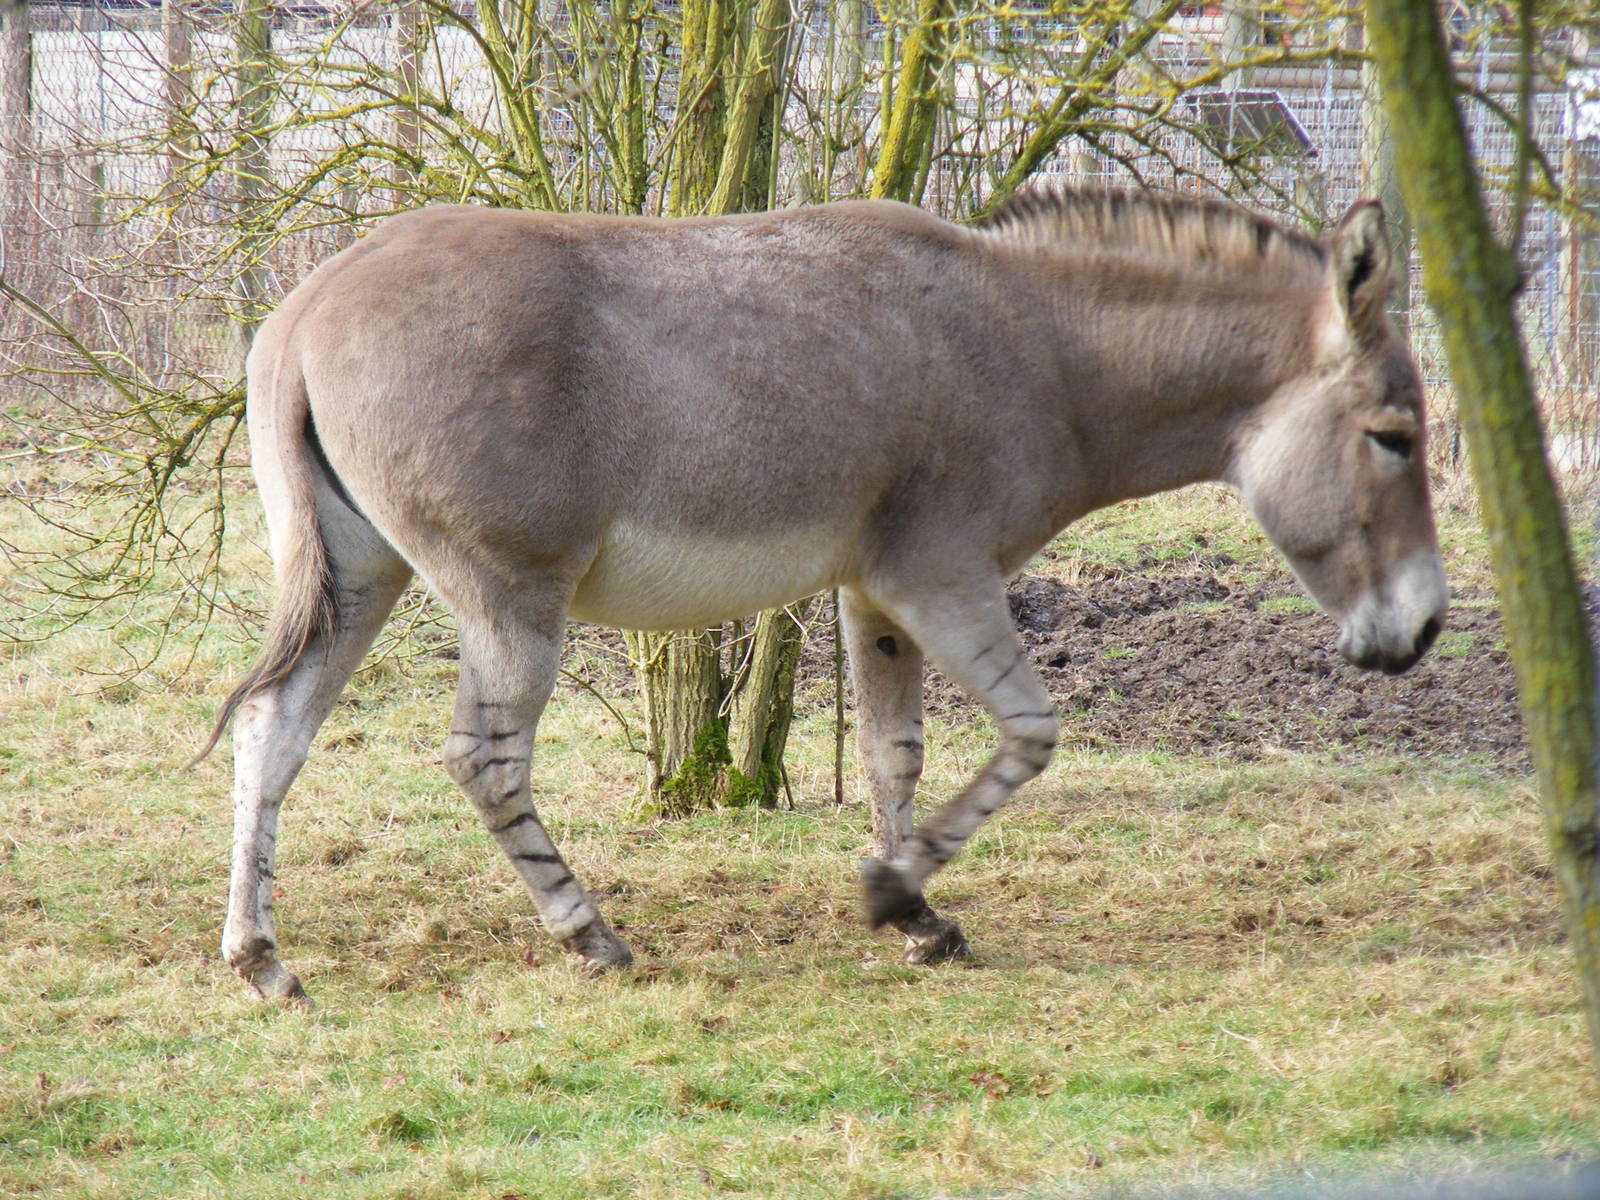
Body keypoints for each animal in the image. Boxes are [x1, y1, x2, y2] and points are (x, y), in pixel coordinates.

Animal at [196, 187, 1448, 1000]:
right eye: (1393, 436)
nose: (1424, 631)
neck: (1037, 352)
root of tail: (307, 310)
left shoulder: (873, 594)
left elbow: (897, 753)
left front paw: (916, 913)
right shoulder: (941, 575)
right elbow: (1031, 731)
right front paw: (896, 898)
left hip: (359, 576)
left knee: (273, 730)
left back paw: (262, 962)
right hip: (509, 599)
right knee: (484, 760)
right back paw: (590, 937)